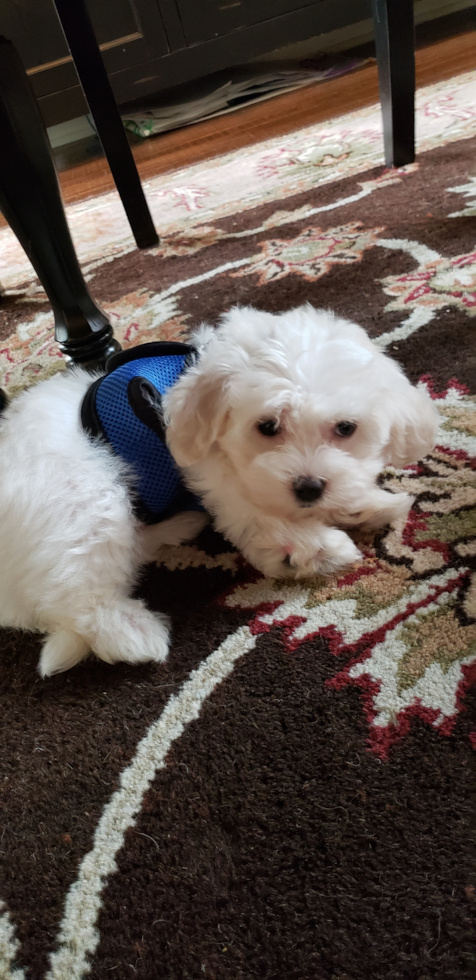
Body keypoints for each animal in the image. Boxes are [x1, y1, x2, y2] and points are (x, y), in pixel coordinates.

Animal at [0, 306, 436, 672]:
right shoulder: (205, 465)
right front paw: (310, 546)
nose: (309, 488)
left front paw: (365, 504)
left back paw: (179, 527)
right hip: (86, 500)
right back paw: (132, 632)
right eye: (267, 426)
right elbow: (247, 504)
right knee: (78, 594)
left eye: (346, 428)